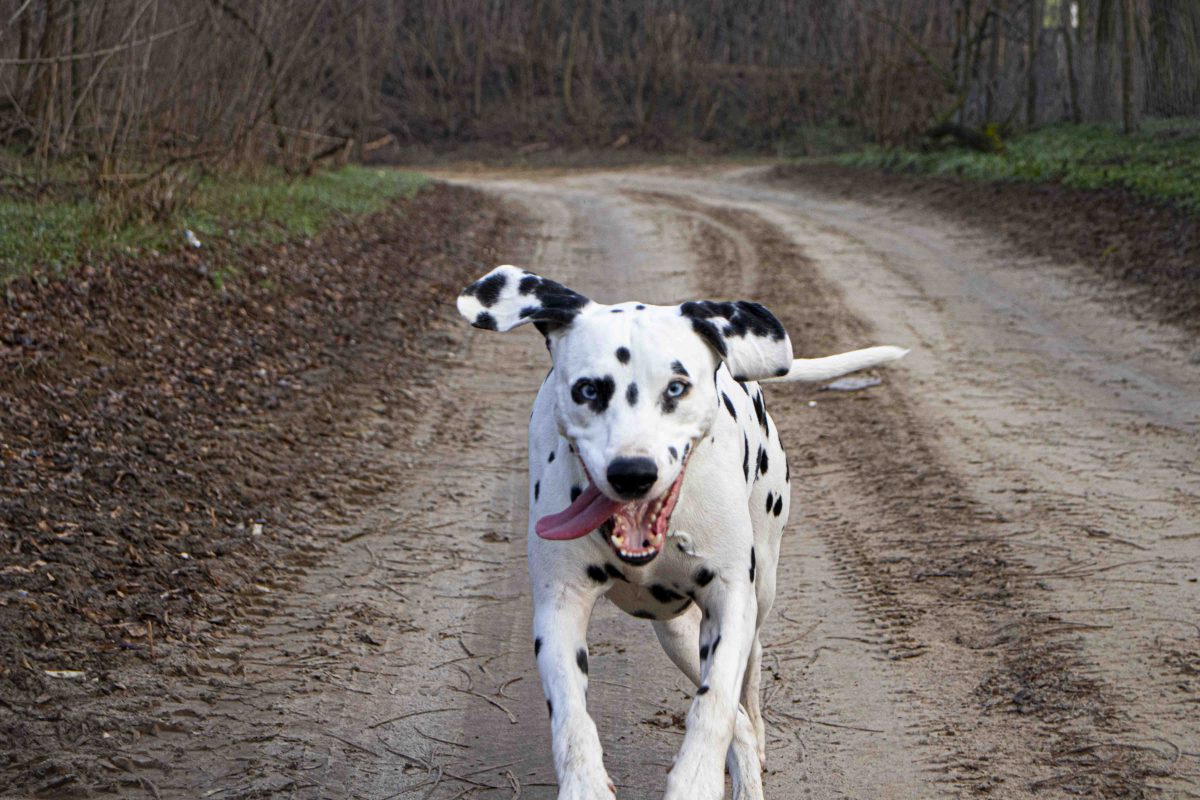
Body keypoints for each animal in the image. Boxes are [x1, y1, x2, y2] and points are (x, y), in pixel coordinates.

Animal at [453, 268, 902, 800]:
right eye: (588, 390)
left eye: (675, 388)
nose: (632, 472)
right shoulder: (559, 606)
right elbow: (570, 717)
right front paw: (585, 782)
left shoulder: (730, 599)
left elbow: (714, 705)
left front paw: (696, 778)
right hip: (676, 633)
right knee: (737, 718)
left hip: (762, 584)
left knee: (750, 673)